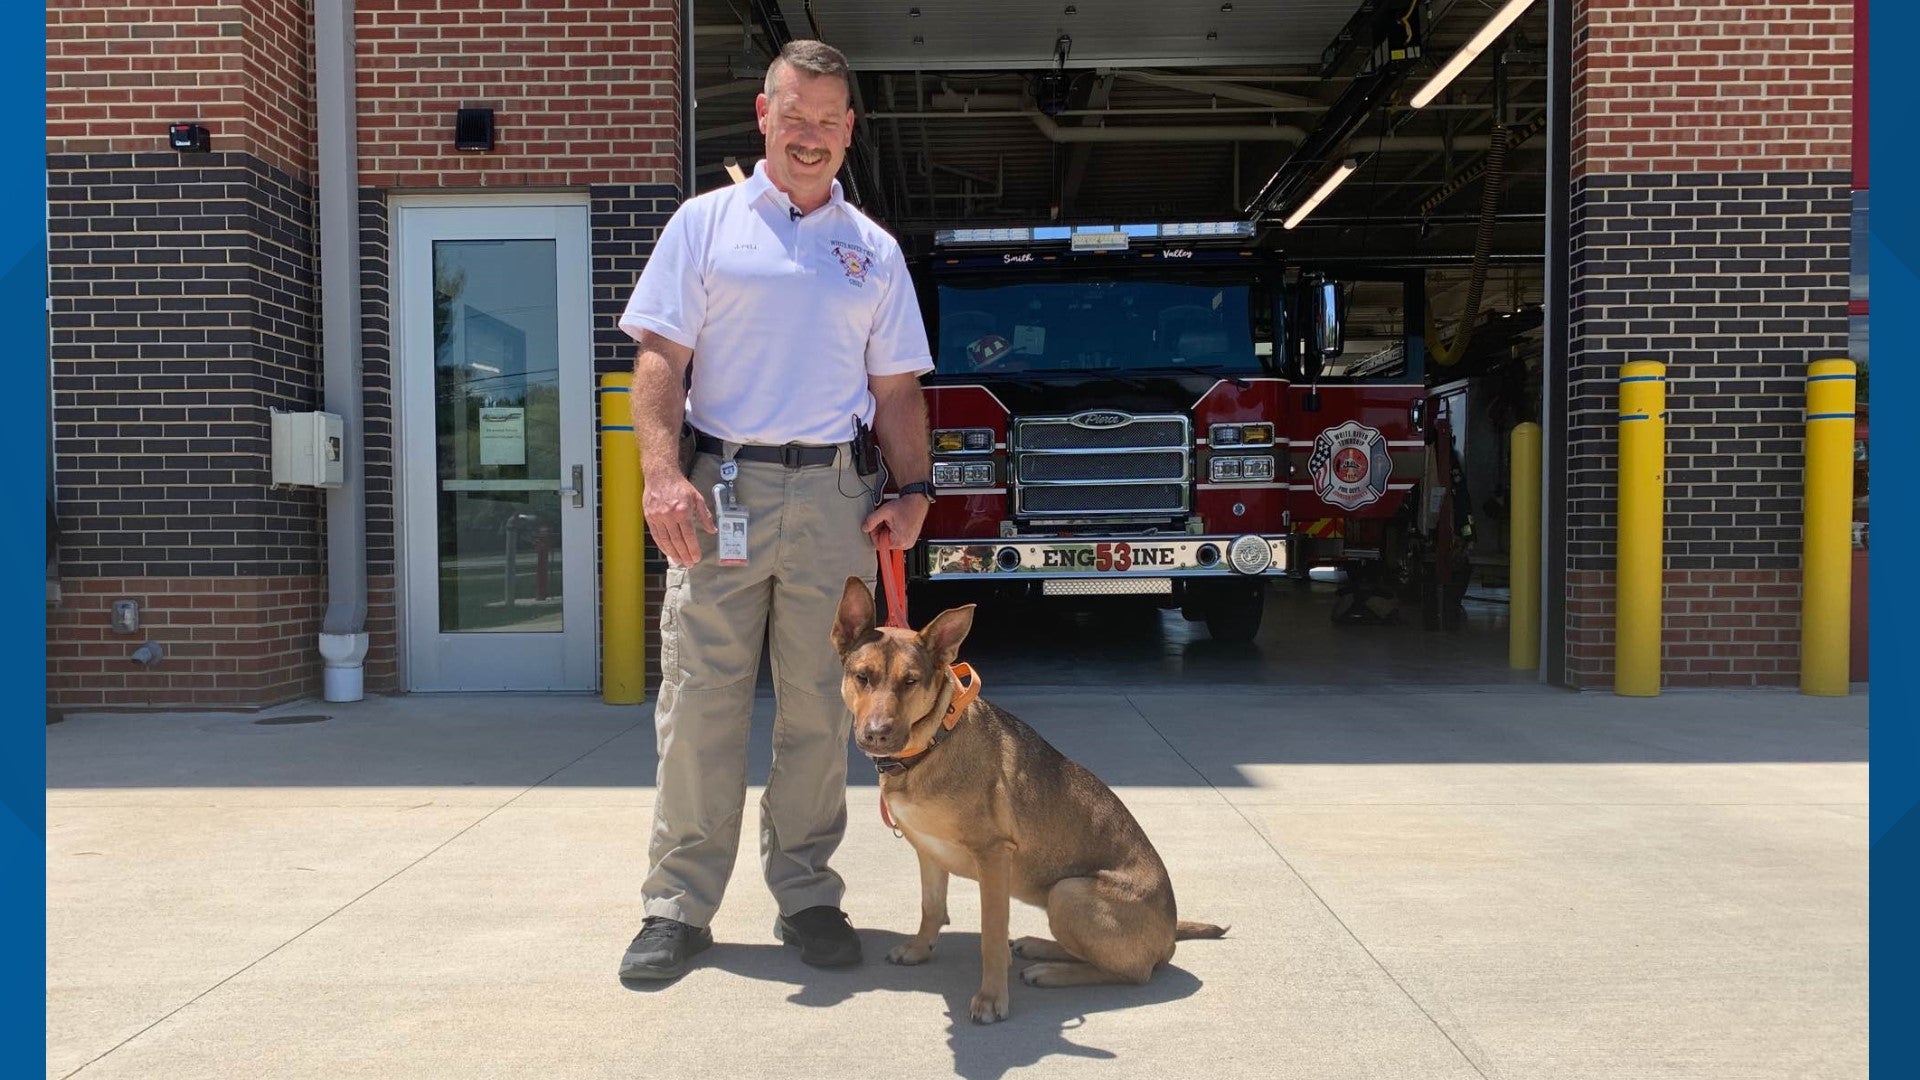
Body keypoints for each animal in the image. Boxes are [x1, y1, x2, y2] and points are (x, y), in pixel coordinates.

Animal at [829, 576, 1228, 1022]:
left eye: (911, 681)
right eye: (862, 677)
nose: (876, 734)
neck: (930, 744)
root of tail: (1170, 932)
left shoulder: (992, 856)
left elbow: (990, 935)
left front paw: (991, 998)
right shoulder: (928, 851)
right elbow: (931, 908)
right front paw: (919, 949)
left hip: (1068, 892)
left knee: (1131, 971)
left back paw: (1052, 972)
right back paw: (1042, 947)